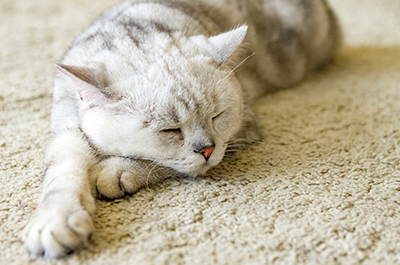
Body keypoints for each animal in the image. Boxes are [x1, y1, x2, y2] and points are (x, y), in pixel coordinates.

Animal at [23, 0, 340, 256]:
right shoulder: (65, 130)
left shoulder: (242, 130)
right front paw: (57, 221)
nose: (207, 149)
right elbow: (63, 171)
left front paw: (115, 172)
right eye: (169, 130)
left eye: (216, 116)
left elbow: (161, 164)